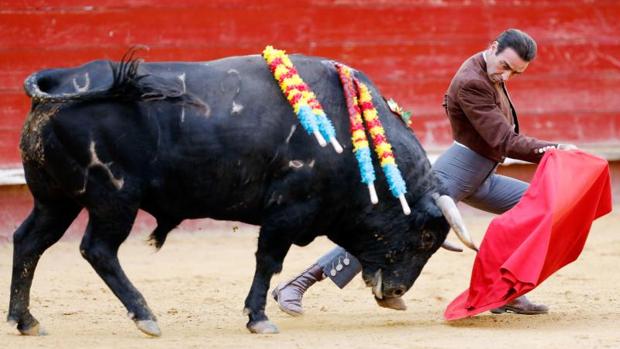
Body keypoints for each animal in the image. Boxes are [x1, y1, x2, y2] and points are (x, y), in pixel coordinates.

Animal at [8, 53, 470, 336]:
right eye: (425, 238)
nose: (395, 294)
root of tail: (58, 82)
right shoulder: (287, 211)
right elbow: (268, 261)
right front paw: (259, 318)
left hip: (56, 200)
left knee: (28, 241)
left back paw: (24, 320)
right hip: (113, 199)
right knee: (98, 250)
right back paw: (145, 316)